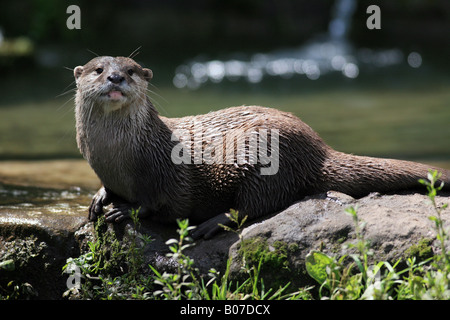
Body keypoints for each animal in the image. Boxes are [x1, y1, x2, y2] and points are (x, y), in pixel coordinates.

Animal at [74, 56, 450, 239]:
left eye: (132, 71)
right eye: (98, 69)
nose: (116, 78)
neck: (116, 157)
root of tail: (319, 149)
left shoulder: (161, 172)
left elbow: (158, 201)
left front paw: (127, 210)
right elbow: (109, 189)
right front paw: (101, 197)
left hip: (265, 155)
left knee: (257, 204)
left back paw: (213, 223)